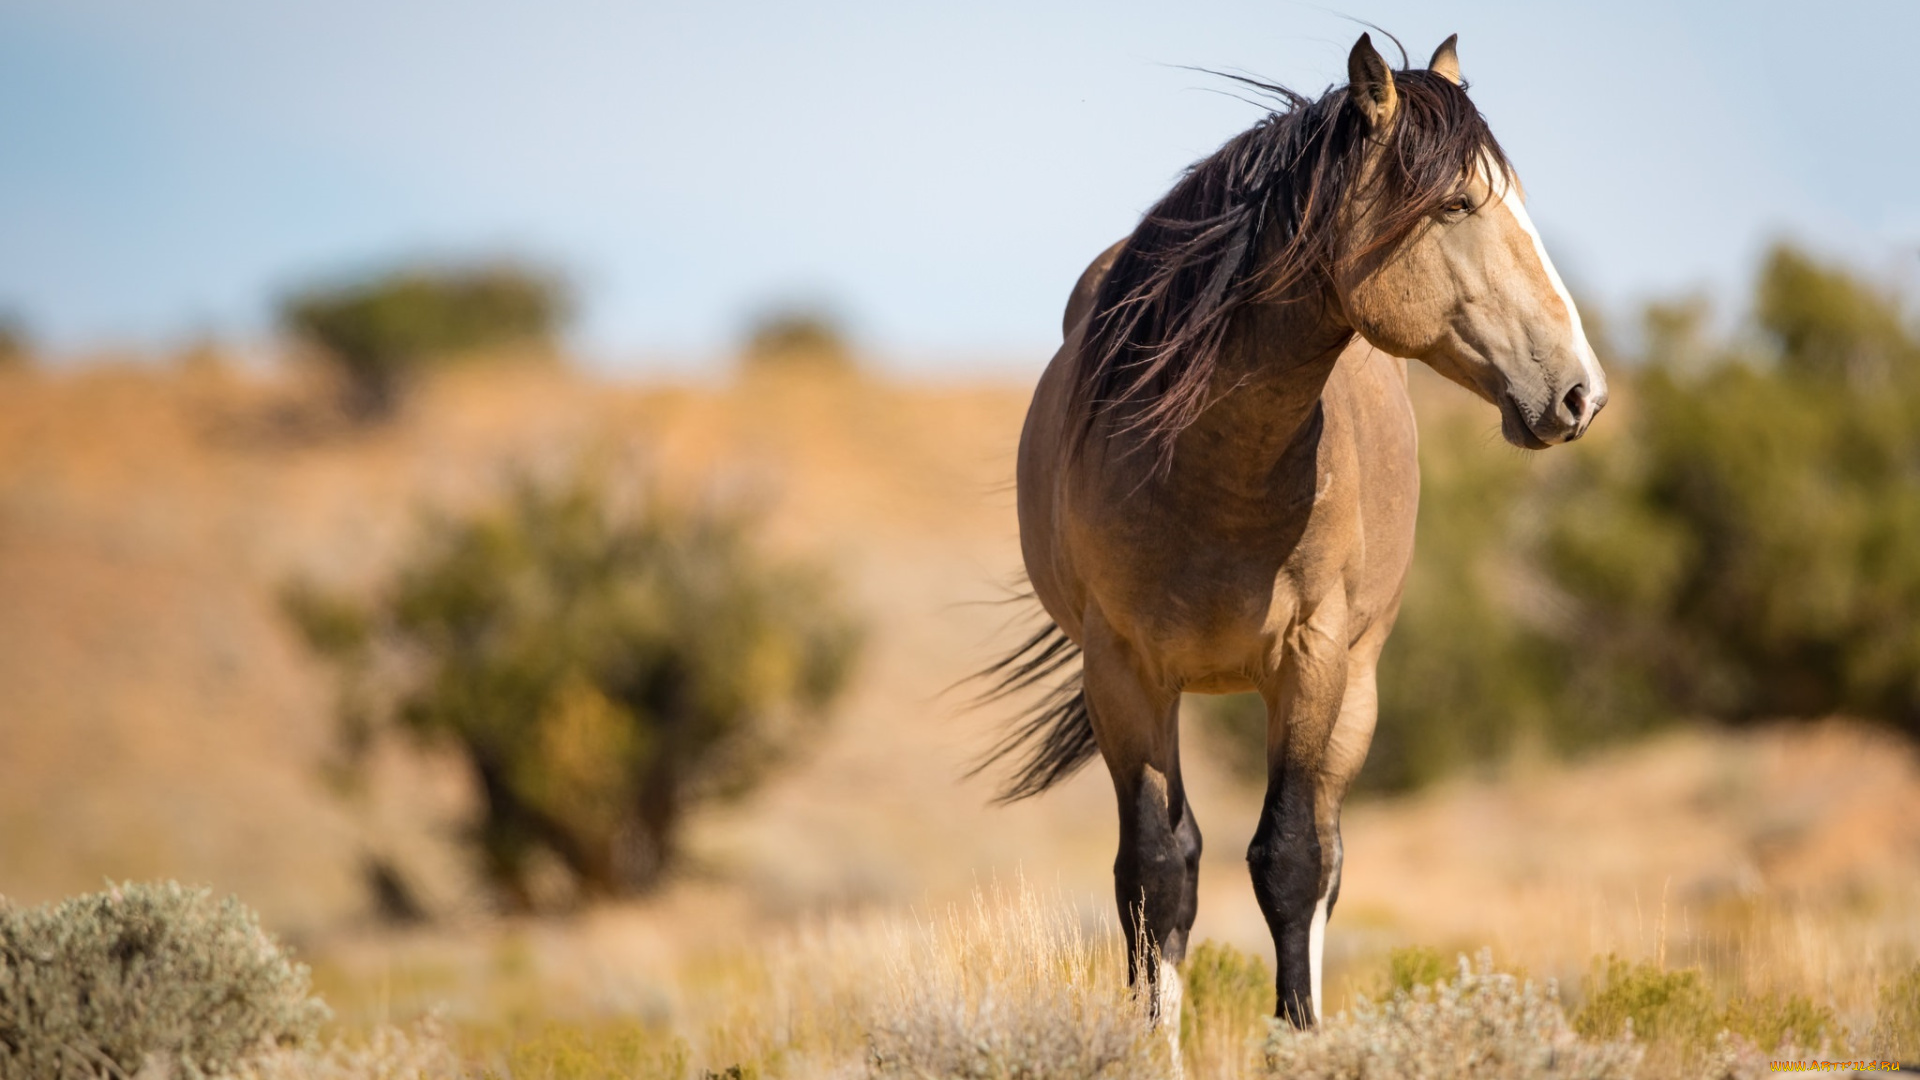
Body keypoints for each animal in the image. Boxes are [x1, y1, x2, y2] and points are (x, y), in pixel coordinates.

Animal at [975, 31, 1605, 1022]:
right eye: (1457, 204)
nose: (1581, 392)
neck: (1212, 466)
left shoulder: (1312, 659)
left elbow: (1293, 862)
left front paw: (1299, 1033)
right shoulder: (1123, 672)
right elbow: (1155, 873)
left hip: (1358, 690)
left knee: (1328, 854)